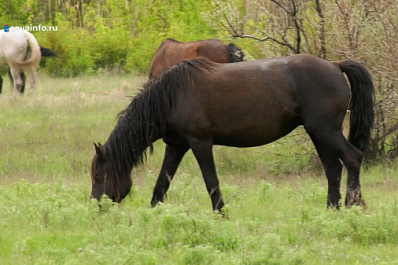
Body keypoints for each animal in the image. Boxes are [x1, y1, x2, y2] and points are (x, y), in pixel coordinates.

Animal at [90, 54, 374, 211]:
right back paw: (331, 209)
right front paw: (153, 214)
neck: (172, 97)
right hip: (319, 134)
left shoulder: (200, 144)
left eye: (99, 176)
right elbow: (162, 184)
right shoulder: (177, 146)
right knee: (333, 169)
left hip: (326, 132)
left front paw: (222, 213)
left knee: (352, 159)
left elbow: (211, 182)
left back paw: (354, 204)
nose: (95, 206)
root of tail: (335, 65)